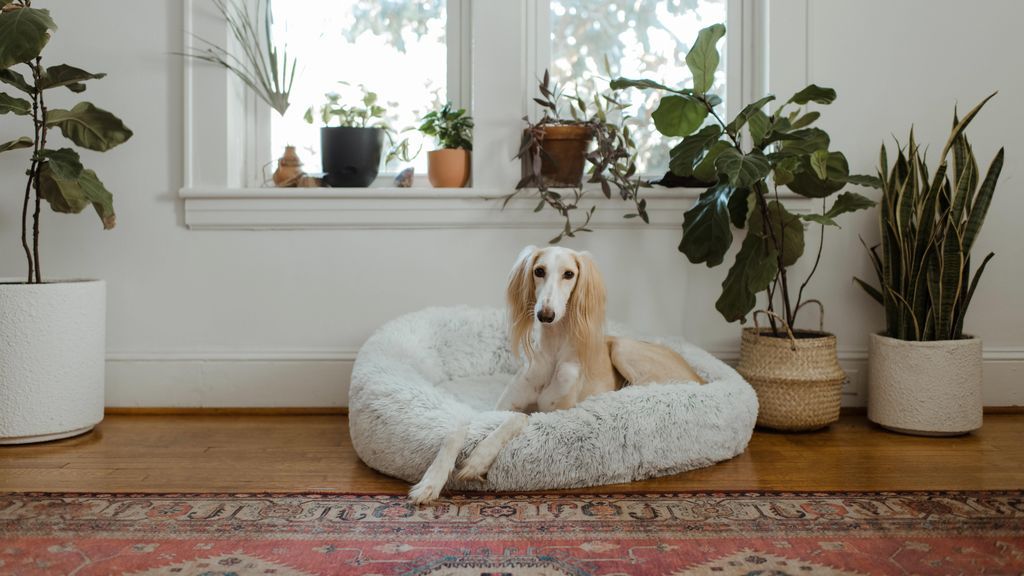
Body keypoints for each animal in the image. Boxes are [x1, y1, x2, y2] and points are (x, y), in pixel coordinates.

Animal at [407, 243, 704, 500]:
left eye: (569, 274)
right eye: (539, 270)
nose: (545, 315)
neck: (552, 355)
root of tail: (699, 376)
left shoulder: (554, 415)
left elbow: (518, 418)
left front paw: (478, 460)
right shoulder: (497, 408)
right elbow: (458, 428)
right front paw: (430, 482)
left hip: (623, 348)